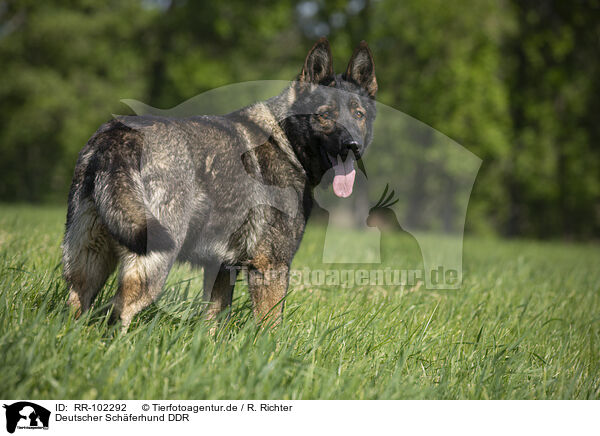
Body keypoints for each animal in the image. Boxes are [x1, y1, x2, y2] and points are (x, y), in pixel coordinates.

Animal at [63, 39, 378, 330]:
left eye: (358, 115)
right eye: (325, 115)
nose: (353, 146)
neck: (286, 141)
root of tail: (118, 136)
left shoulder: (221, 269)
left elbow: (214, 321)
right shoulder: (271, 267)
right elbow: (270, 327)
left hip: (89, 258)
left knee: (78, 303)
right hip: (153, 260)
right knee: (120, 311)